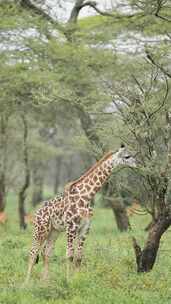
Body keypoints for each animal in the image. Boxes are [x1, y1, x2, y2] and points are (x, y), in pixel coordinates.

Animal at [24, 145, 136, 282]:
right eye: (127, 156)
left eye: (132, 154)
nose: (137, 164)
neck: (87, 196)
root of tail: (36, 213)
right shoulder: (71, 227)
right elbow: (69, 255)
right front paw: (68, 280)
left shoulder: (85, 228)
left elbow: (79, 257)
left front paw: (77, 280)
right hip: (41, 229)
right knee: (33, 252)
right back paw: (26, 283)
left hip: (54, 231)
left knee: (46, 252)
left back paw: (45, 282)